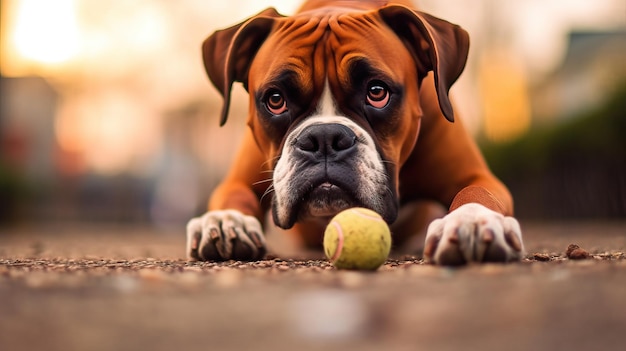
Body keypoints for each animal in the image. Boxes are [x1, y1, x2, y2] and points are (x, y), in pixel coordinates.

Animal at [184, 0, 520, 264]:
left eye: (377, 92)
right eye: (275, 99)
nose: (324, 139)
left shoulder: (475, 176)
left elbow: (478, 193)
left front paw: (472, 221)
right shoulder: (238, 181)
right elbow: (233, 196)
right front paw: (226, 221)